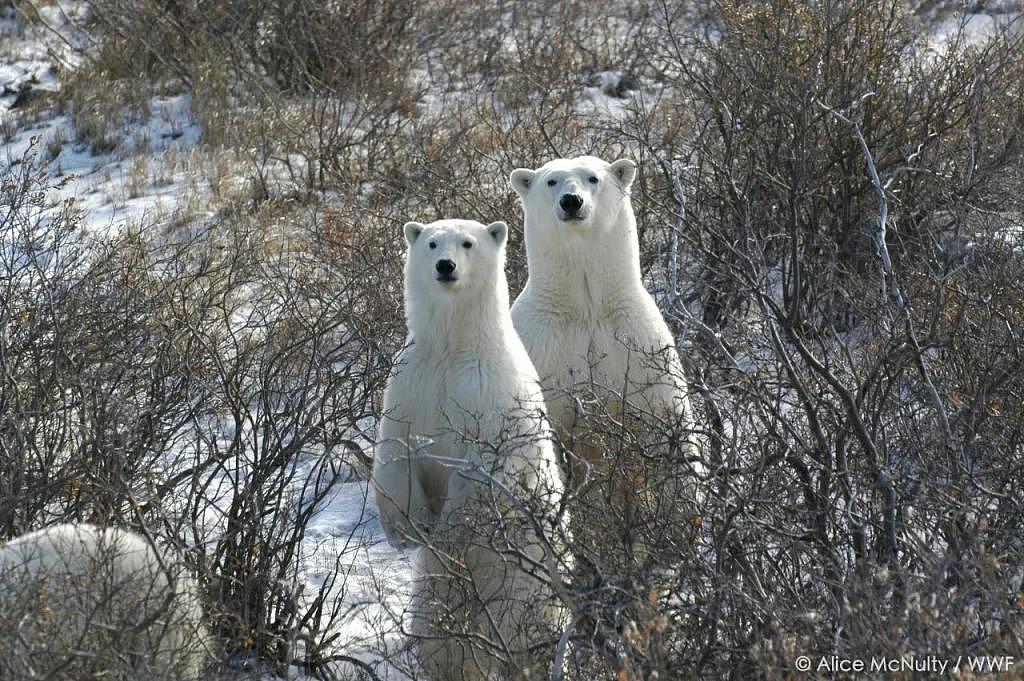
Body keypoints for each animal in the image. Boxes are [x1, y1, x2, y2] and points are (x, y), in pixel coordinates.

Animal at [374, 218, 569, 679]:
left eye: (466, 242)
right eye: (431, 243)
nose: (445, 266)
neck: (453, 346)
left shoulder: (485, 392)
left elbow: (479, 471)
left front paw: (446, 530)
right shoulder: (412, 380)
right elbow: (395, 450)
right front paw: (409, 530)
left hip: (522, 576)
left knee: (519, 627)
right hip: (444, 589)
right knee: (439, 626)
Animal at [512, 153, 704, 540]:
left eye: (593, 178)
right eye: (551, 181)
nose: (572, 201)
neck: (587, 309)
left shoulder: (637, 344)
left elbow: (669, 426)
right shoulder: (542, 347)